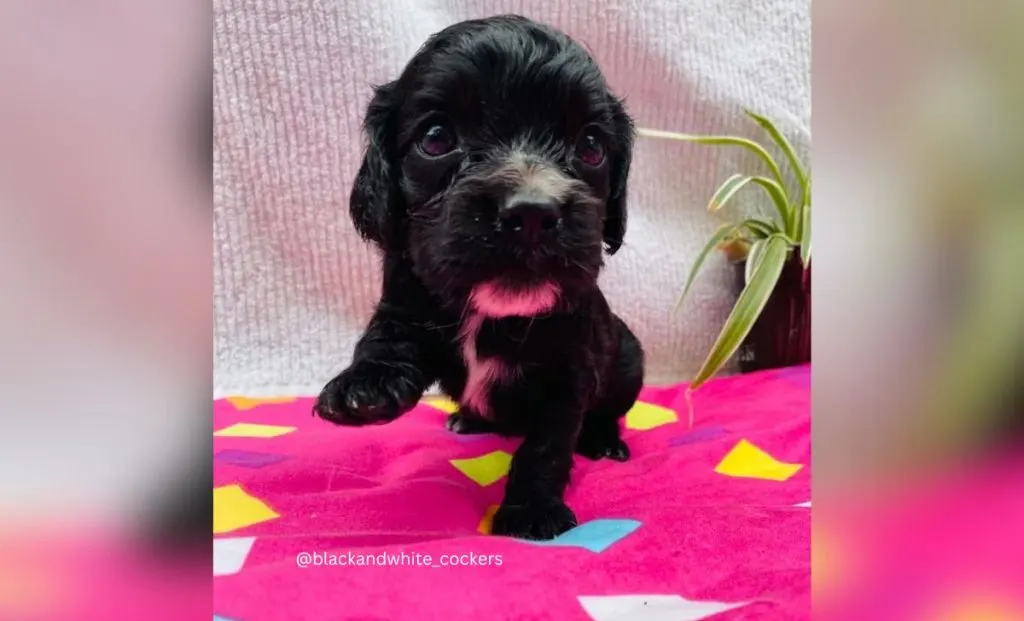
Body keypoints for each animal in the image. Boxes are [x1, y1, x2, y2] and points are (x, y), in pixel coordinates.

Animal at [315, 13, 643, 541]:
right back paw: (467, 420)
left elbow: (547, 446)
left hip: (629, 360)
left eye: (591, 146)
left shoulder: (570, 369)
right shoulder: (408, 295)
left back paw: (603, 439)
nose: (532, 213)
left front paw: (533, 510)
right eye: (436, 138)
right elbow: (386, 335)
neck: (495, 311)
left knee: (608, 410)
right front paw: (364, 385)